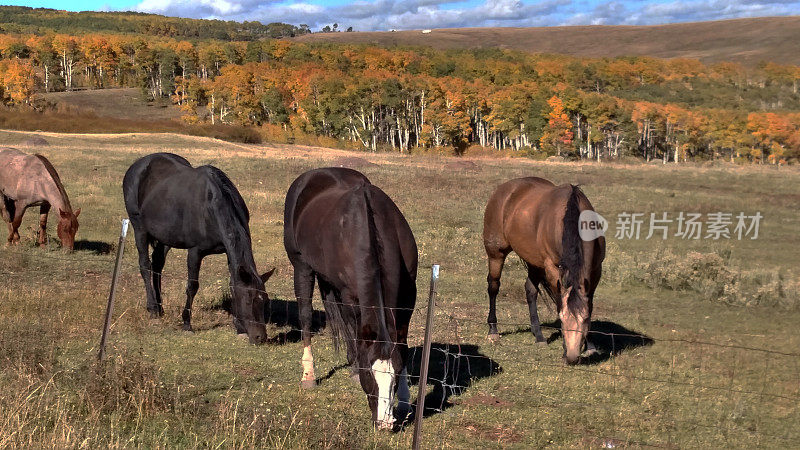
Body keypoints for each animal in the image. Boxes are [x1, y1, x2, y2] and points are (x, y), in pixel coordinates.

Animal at [123, 152, 274, 344]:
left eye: (265, 300)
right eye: (248, 301)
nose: (260, 337)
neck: (212, 204)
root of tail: (138, 164)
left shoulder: (228, 253)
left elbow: (233, 283)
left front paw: (239, 328)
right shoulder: (195, 252)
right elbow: (192, 286)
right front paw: (187, 323)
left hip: (165, 238)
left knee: (157, 265)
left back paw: (160, 307)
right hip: (139, 229)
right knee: (145, 265)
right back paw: (153, 310)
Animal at [282, 167, 418, 428]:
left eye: (395, 375)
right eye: (369, 374)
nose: (385, 423)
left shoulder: (408, 297)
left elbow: (402, 342)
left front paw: (405, 401)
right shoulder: (349, 296)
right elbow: (354, 332)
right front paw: (356, 369)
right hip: (302, 267)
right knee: (307, 316)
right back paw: (309, 375)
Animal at [482, 178, 608, 364]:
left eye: (584, 319)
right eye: (561, 319)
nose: (572, 357)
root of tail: (505, 188)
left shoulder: (595, 269)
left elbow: (589, 304)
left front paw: (590, 346)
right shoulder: (551, 268)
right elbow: (559, 301)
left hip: (534, 261)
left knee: (530, 290)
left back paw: (539, 335)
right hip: (496, 253)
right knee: (493, 286)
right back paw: (493, 331)